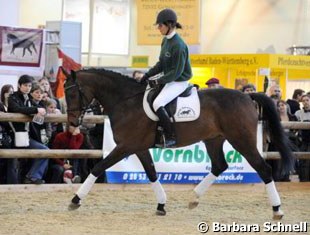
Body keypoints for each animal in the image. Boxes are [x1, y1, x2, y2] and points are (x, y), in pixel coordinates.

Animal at [63, 68, 294, 220]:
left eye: (72, 92)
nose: (73, 123)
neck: (126, 101)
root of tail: (247, 97)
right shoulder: (139, 148)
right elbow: (152, 173)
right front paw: (161, 205)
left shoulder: (125, 147)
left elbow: (98, 167)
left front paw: (75, 200)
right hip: (213, 139)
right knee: (220, 165)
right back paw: (193, 198)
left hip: (242, 140)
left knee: (263, 169)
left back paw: (277, 210)